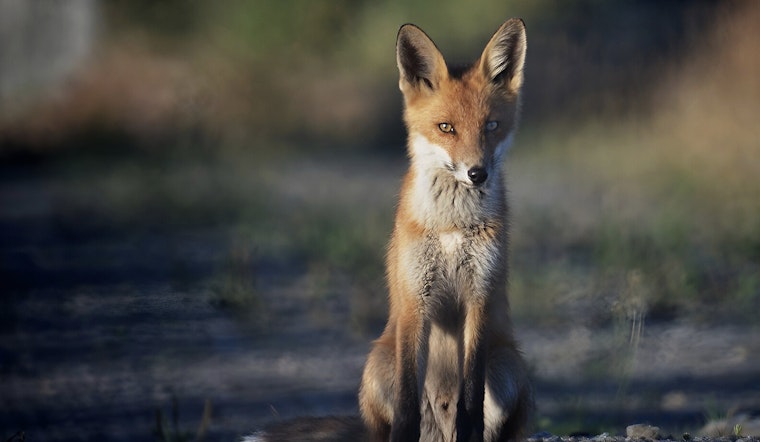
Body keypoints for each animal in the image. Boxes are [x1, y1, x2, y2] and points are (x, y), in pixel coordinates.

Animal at [245, 19, 531, 442]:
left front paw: (470, 428)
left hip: (508, 365)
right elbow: (406, 404)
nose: (477, 173)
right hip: (378, 365)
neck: (451, 225)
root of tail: (438, 433)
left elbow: (471, 398)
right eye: (446, 127)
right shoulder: (415, 301)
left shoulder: (478, 297)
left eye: (491, 126)